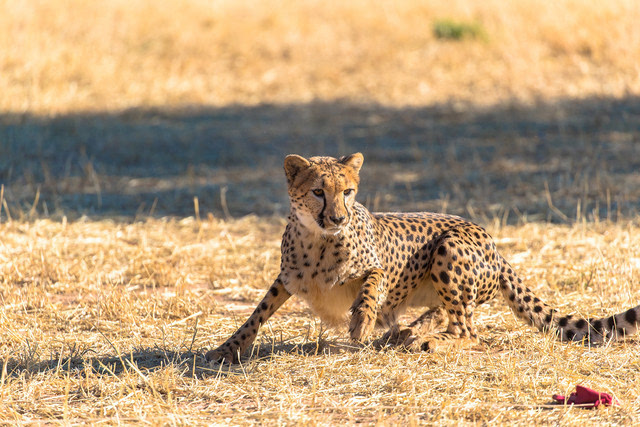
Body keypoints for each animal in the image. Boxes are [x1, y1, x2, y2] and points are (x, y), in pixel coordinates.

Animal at [205, 152, 640, 362]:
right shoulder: (286, 279)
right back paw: (409, 331)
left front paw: (362, 321)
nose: (339, 217)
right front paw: (226, 349)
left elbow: (372, 285)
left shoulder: (379, 265)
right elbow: (256, 314)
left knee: (470, 332)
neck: (319, 239)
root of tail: (494, 244)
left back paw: (425, 340)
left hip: (450, 247)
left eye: (348, 192)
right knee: (449, 317)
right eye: (317, 192)